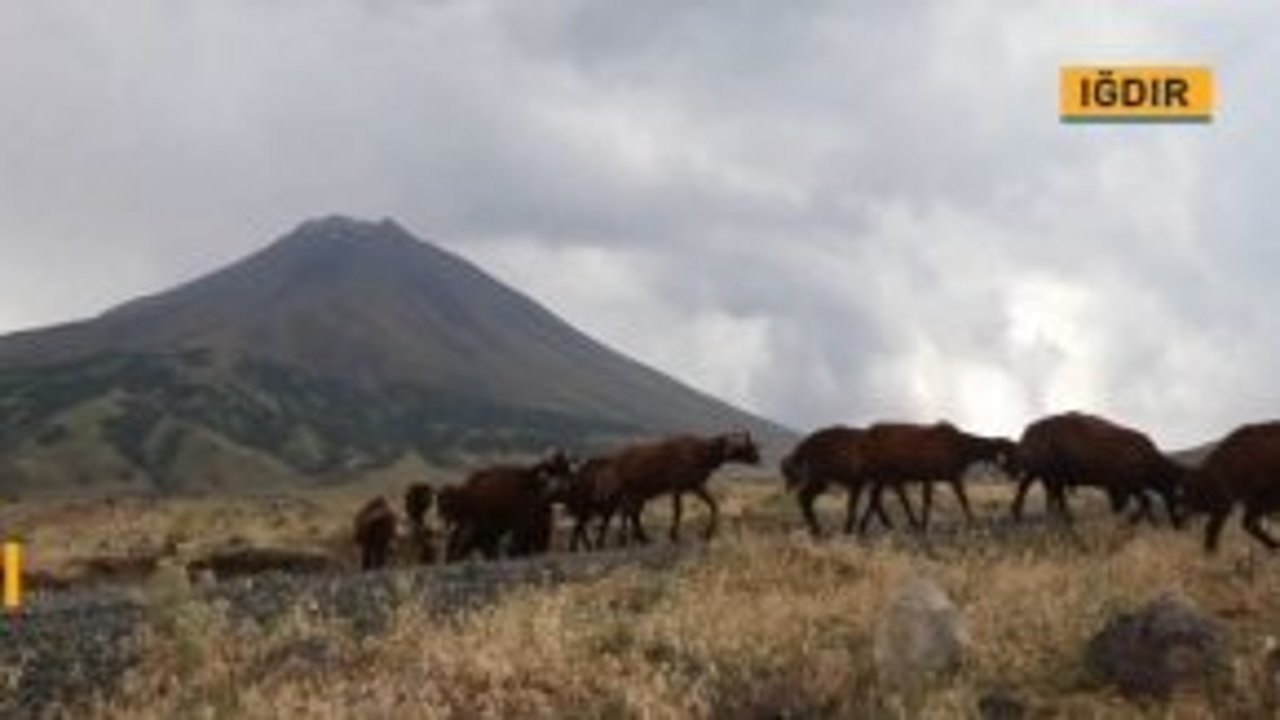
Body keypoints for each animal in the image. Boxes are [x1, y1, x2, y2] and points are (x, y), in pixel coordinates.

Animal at [611, 430, 761, 544]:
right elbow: (678, 510)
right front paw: (673, 535)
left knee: (632, 512)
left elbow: (713, 505)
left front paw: (708, 534)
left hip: (640, 493)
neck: (703, 455)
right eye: (748, 446)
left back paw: (641, 538)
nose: (758, 458)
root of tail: (618, 460)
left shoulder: (696, 485)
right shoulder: (677, 486)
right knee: (626, 511)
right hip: (632, 491)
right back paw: (624, 538)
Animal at [780, 426, 913, 537]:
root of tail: (805, 445)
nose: (787, 485)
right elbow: (859, 506)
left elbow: (872, 503)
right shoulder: (860, 482)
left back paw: (816, 529)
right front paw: (851, 530)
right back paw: (817, 530)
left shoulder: (867, 482)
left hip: (821, 481)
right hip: (820, 480)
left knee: (805, 498)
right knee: (803, 497)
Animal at [856, 422, 1015, 534]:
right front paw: (925, 525)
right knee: (878, 498)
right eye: (1008, 452)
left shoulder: (951, 476)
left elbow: (962, 498)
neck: (963, 450)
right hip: (884, 474)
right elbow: (931, 501)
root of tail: (867, 436)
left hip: (885, 476)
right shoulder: (932, 476)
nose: (1012, 473)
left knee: (877, 498)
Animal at [1009, 412, 1185, 526]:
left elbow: (1133, 503)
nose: (1180, 524)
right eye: (1176, 492)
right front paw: (1134, 521)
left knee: (1045, 492)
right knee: (1031, 488)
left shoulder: (1121, 488)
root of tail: (1029, 429)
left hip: (1044, 473)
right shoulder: (1129, 486)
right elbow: (1144, 502)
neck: (1148, 457)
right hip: (1041, 471)